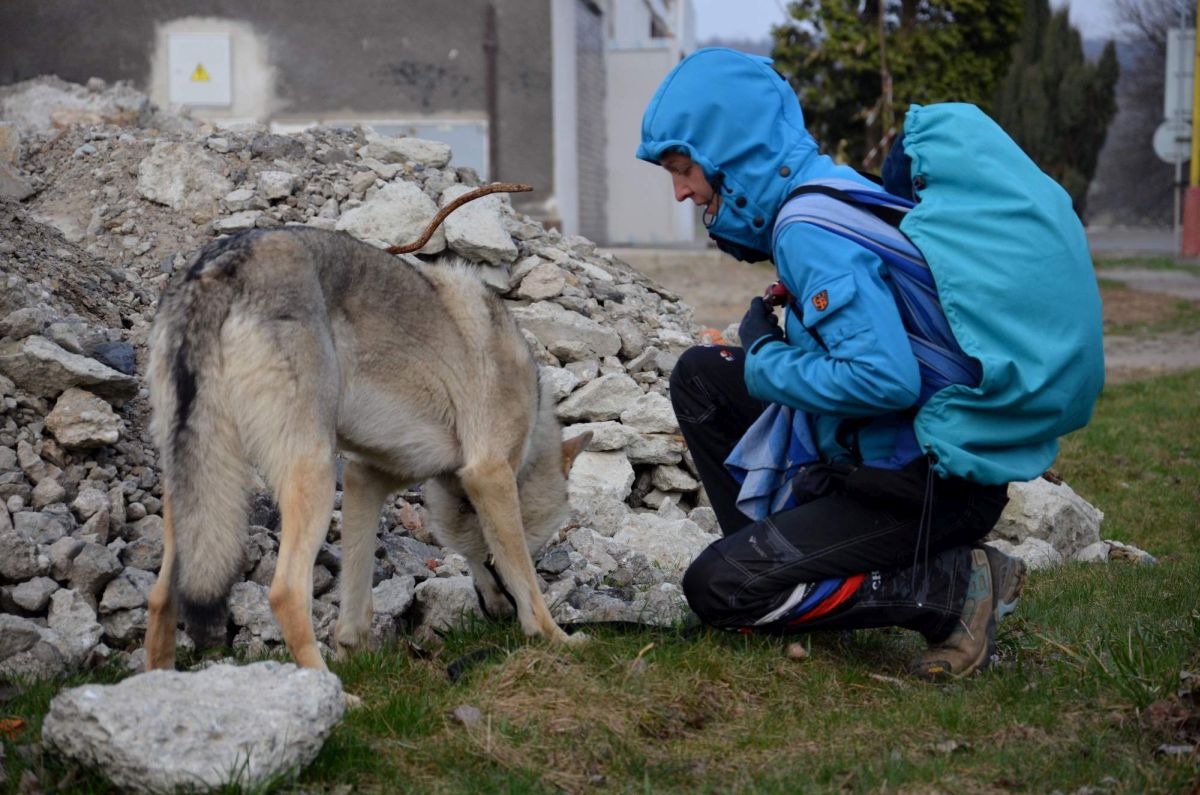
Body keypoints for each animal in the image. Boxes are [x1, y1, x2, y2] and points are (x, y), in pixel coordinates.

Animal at [144, 229, 590, 672]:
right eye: (539, 547)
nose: (498, 618)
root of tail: (222, 263)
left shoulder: (364, 480)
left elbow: (356, 591)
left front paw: (355, 652)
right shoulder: (490, 474)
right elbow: (524, 580)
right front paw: (556, 638)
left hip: (194, 490)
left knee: (161, 597)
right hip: (315, 475)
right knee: (286, 593)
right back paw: (328, 687)